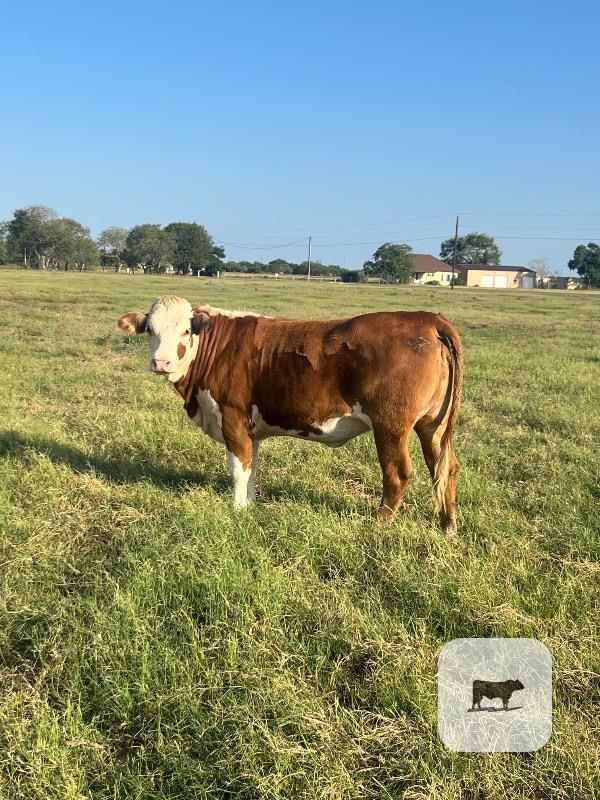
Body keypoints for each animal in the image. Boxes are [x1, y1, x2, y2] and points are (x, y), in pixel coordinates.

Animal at [118, 296, 463, 529]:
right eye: (149, 329)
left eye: (186, 331)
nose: (161, 362)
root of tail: (428, 319)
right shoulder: (251, 427)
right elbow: (251, 466)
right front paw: (250, 505)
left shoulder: (232, 417)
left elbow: (237, 469)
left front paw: (237, 511)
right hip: (433, 423)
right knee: (444, 467)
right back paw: (448, 526)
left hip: (390, 425)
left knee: (397, 472)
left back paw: (380, 522)